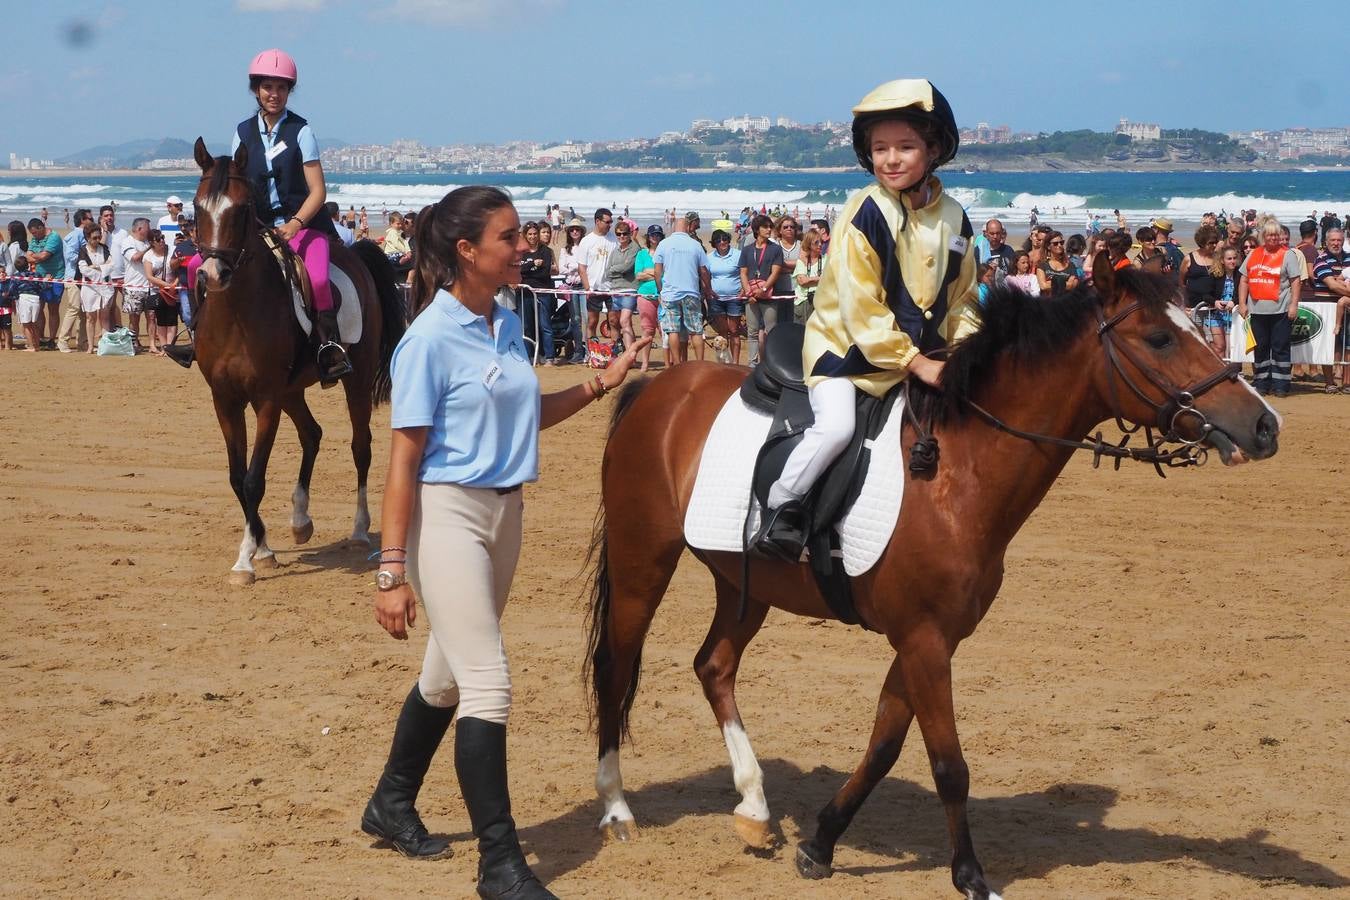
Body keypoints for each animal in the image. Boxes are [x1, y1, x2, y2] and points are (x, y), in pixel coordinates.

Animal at [190, 133, 402, 585]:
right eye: (198, 207)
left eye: (242, 209)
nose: (214, 275)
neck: (237, 313)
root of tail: (357, 256)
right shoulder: (225, 400)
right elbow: (237, 478)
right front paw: (261, 548)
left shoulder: (266, 399)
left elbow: (254, 479)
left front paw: (246, 560)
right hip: (292, 391)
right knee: (312, 434)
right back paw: (301, 520)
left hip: (353, 383)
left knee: (361, 447)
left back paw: (359, 530)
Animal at [585, 256, 1279, 895]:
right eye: (1159, 338)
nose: (1265, 425)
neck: (957, 467)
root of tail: (660, 389)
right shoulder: (923, 641)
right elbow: (949, 765)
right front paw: (970, 874)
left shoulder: (928, 638)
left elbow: (885, 746)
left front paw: (821, 841)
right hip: (643, 562)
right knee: (615, 668)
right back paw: (617, 809)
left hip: (742, 584)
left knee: (715, 667)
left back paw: (755, 808)